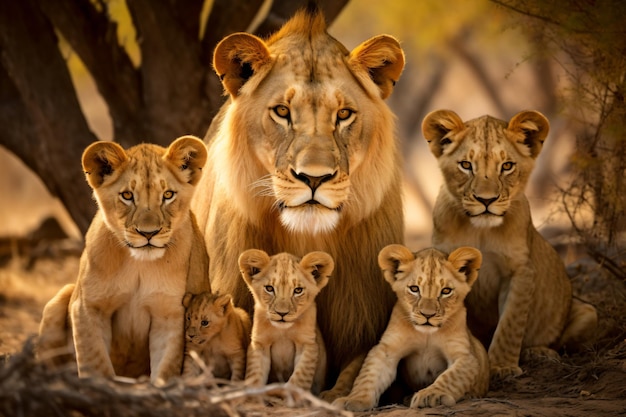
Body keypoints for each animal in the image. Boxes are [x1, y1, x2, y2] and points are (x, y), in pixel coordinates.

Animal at [38, 136, 210, 384]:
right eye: (127, 196)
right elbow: (95, 364)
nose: (148, 233)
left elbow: (166, 367)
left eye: (168, 195)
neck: (138, 264)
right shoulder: (89, 307)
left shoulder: (169, 313)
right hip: (58, 300)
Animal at [236, 249, 332, 394]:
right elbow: (255, 376)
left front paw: (287, 396)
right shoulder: (260, 343)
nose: (282, 313)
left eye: (298, 290)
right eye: (269, 288)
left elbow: (299, 378)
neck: (282, 331)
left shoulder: (307, 343)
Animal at [332, 244, 488, 410]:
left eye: (446, 291)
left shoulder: (465, 356)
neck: (426, 334)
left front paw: (431, 395)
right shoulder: (387, 349)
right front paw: (354, 400)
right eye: (414, 289)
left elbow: (450, 377)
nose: (428, 315)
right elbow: (368, 376)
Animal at [420, 109, 596, 378]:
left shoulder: (520, 271)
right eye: (466, 165)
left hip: (589, 313)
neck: (480, 230)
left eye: (507, 166)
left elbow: (511, 322)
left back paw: (540, 353)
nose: (486, 200)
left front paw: (502, 367)